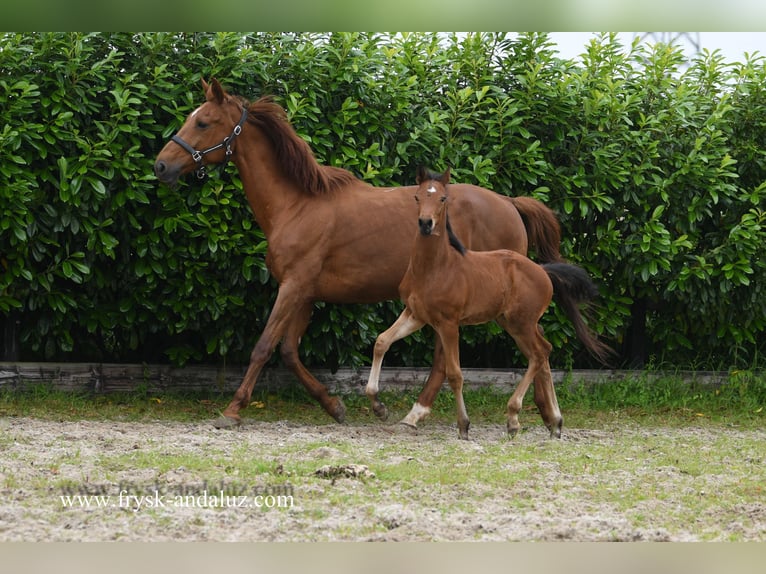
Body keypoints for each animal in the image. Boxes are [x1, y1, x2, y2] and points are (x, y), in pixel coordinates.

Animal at [154, 79, 564, 428]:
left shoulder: (292, 287)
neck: (297, 205)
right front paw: (334, 406)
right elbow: (288, 351)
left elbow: (264, 346)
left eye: (203, 122)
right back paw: (545, 415)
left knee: (485, 353)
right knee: (533, 347)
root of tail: (510, 204)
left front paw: (233, 409)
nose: (161, 165)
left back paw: (423, 412)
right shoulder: (305, 293)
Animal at [366, 168, 612, 440]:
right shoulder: (415, 314)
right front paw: (378, 406)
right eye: (417, 197)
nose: (425, 224)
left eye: (443, 198)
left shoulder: (449, 323)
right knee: (542, 352)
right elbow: (381, 341)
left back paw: (515, 418)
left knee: (539, 353)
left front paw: (463, 425)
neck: (434, 267)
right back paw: (554, 422)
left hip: (521, 322)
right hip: (512, 323)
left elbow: (455, 373)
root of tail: (543, 271)